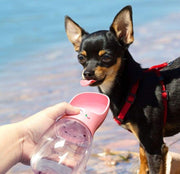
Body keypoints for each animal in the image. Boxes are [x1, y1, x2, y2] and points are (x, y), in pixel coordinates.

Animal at [64, 5, 180, 174]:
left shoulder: (154, 147)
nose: (87, 73)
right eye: (81, 57)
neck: (132, 88)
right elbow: (142, 164)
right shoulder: (144, 144)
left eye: (106, 57)